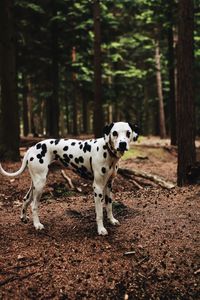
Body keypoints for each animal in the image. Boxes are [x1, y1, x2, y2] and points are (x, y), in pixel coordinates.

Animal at [0, 121, 138, 234]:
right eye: (114, 133)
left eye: (128, 132)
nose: (122, 144)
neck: (107, 151)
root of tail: (32, 148)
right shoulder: (98, 187)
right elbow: (99, 213)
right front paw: (101, 229)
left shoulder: (109, 185)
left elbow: (109, 206)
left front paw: (112, 220)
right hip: (40, 185)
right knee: (34, 205)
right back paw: (37, 224)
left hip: (35, 183)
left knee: (26, 198)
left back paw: (23, 217)